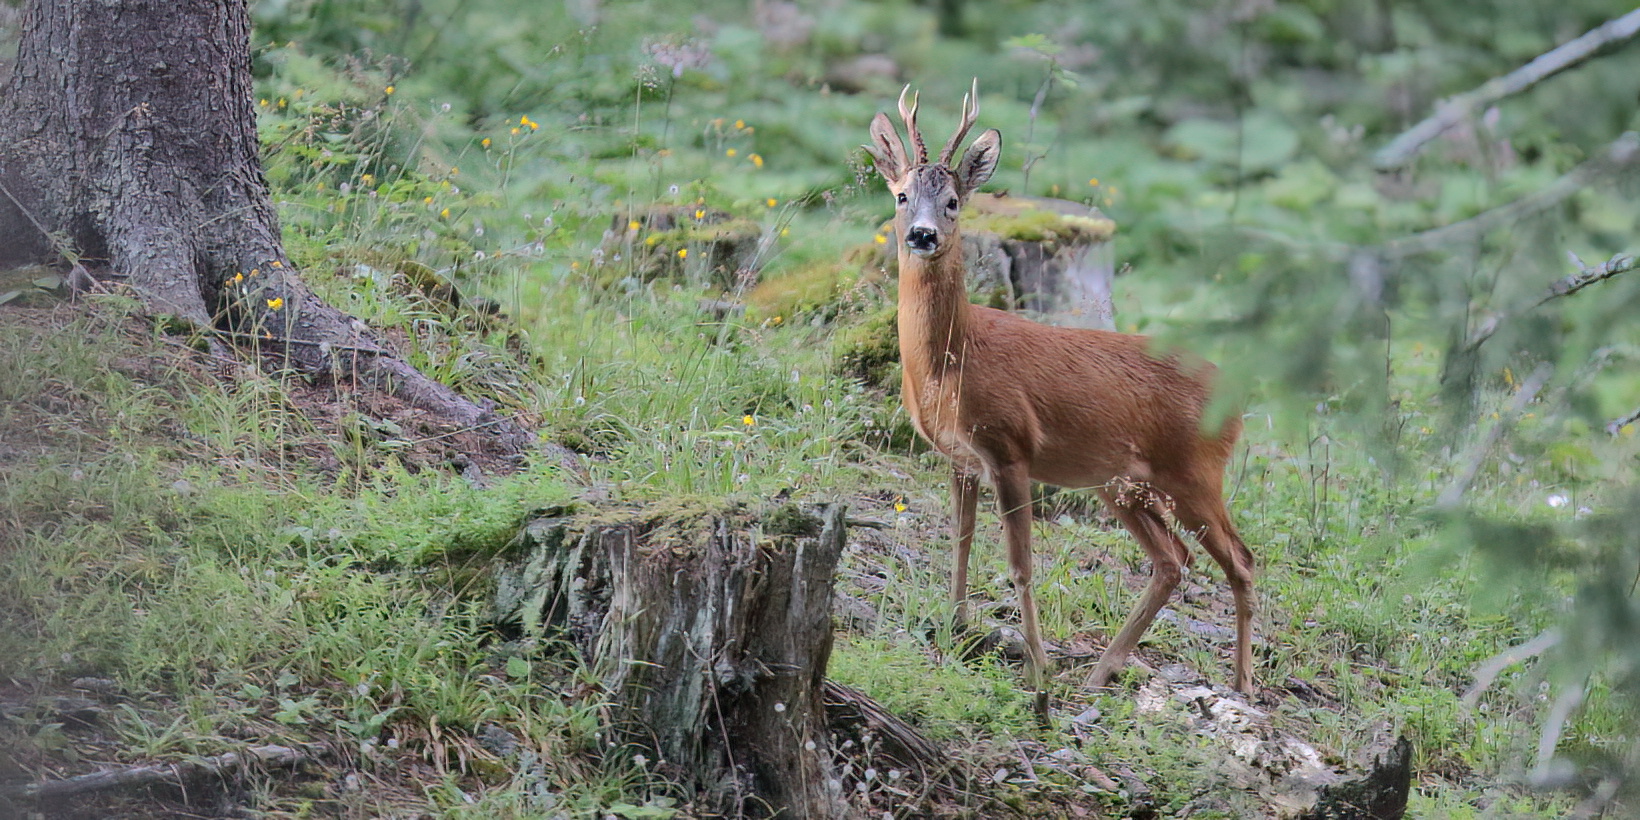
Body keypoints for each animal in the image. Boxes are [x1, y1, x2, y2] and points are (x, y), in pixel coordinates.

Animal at [859, 83, 1252, 711]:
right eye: (900, 195)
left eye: (953, 201)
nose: (922, 235)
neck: (953, 361)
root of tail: (1234, 394)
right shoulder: (959, 456)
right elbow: (960, 542)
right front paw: (953, 631)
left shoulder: (1009, 446)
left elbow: (1020, 565)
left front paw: (1038, 673)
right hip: (1123, 484)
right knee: (1173, 561)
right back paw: (1100, 673)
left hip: (1194, 471)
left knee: (1241, 560)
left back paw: (1241, 683)